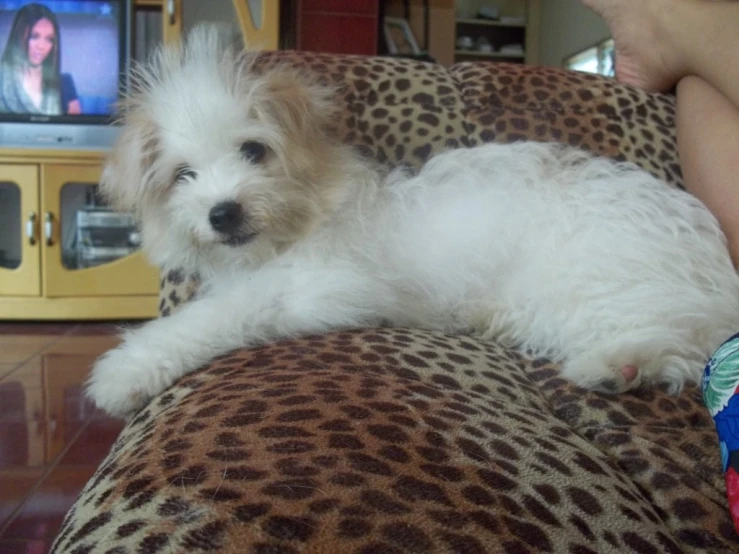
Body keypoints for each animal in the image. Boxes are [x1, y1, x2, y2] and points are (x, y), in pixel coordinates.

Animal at [88, 23, 739, 416]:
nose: (223, 213)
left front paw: (124, 371)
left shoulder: (318, 287)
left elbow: (214, 316)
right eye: (182, 175)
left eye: (254, 150)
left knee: (691, 330)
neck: (304, 216)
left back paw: (616, 364)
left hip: (587, 274)